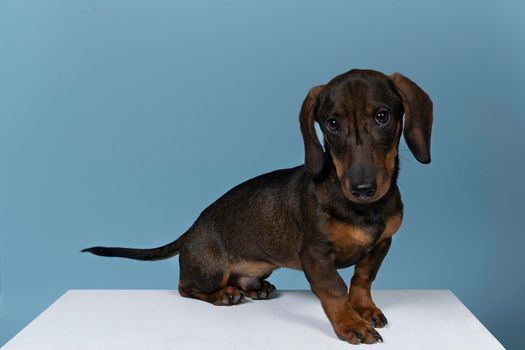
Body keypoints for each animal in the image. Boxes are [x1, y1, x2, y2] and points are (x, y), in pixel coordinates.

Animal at [84, 69, 432, 344]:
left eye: (382, 116)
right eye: (332, 123)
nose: (363, 189)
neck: (362, 210)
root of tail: (191, 230)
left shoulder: (382, 244)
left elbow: (362, 280)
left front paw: (364, 310)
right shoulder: (316, 255)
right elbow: (335, 289)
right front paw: (350, 324)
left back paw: (256, 288)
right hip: (209, 272)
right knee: (185, 287)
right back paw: (224, 294)